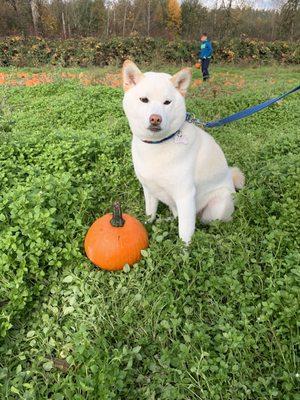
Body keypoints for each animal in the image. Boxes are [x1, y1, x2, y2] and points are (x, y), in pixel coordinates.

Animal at [121, 61, 244, 244]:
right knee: (175, 216)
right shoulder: (149, 189)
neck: (157, 145)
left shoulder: (185, 196)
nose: (155, 119)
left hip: (216, 208)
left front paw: (183, 251)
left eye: (167, 102)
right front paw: (147, 227)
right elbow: (150, 214)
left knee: (207, 222)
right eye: (144, 100)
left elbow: (185, 234)